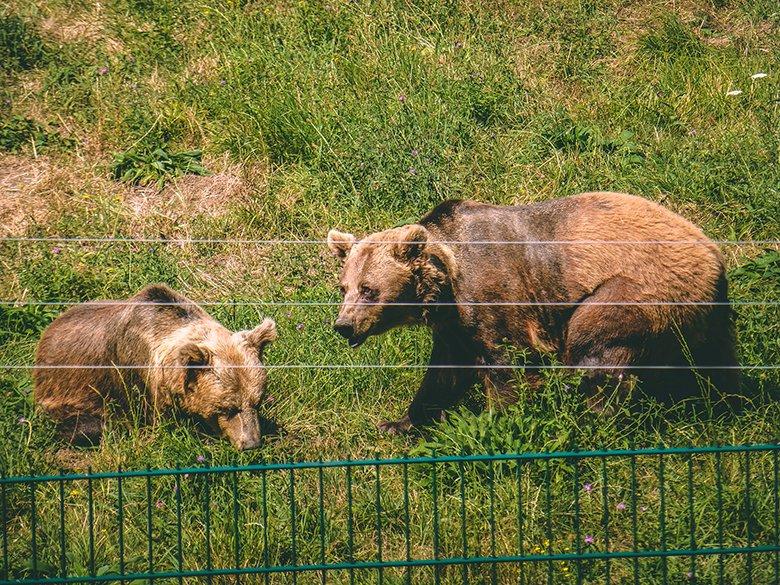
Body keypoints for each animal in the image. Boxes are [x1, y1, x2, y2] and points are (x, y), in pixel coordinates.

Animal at [33, 284, 277, 450]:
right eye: (228, 408)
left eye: (257, 402)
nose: (251, 443)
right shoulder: (140, 375)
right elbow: (164, 424)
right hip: (65, 392)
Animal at [327, 192, 738, 434]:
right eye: (344, 288)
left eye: (369, 289)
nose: (344, 325)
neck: (447, 282)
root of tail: (714, 255)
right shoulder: (455, 325)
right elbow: (444, 374)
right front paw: (399, 423)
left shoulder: (497, 295)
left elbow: (506, 364)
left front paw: (496, 421)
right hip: (705, 315)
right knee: (715, 363)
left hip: (636, 290)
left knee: (595, 350)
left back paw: (590, 419)